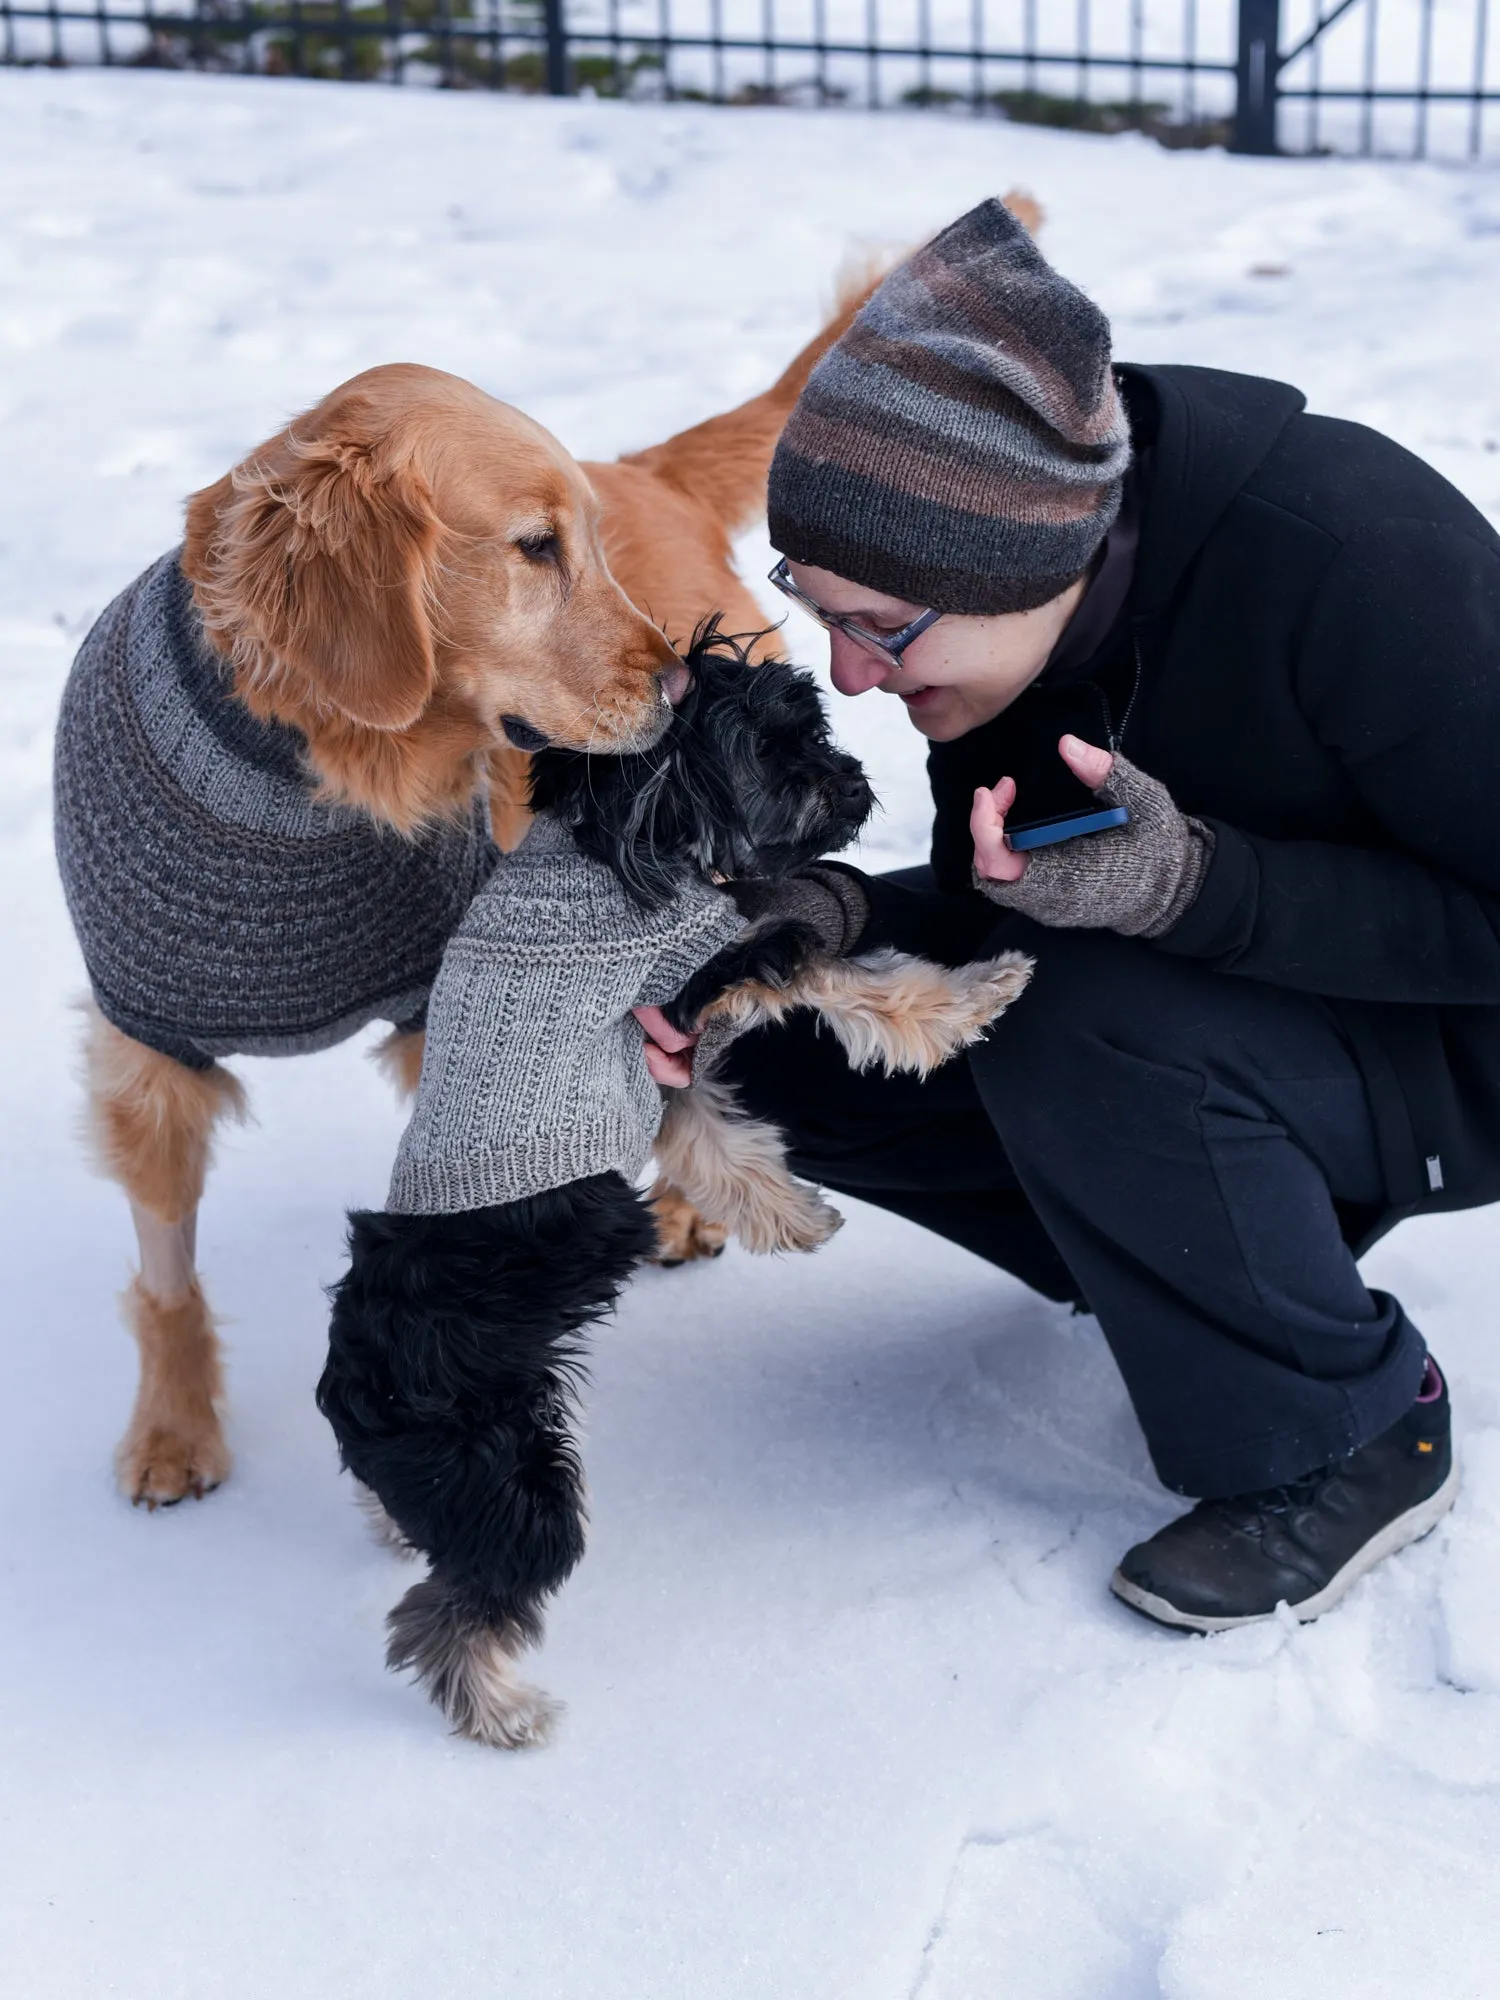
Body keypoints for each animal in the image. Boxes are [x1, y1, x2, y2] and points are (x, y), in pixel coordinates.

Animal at [324, 632, 1032, 1744]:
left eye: (813, 728)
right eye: (772, 756)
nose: (858, 781)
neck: (616, 838)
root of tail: (356, 1380)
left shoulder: (661, 1063)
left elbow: (721, 1149)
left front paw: (798, 1220)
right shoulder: (704, 971)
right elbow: (861, 979)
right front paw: (979, 993)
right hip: (509, 1474)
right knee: (453, 1608)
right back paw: (504, 1714)